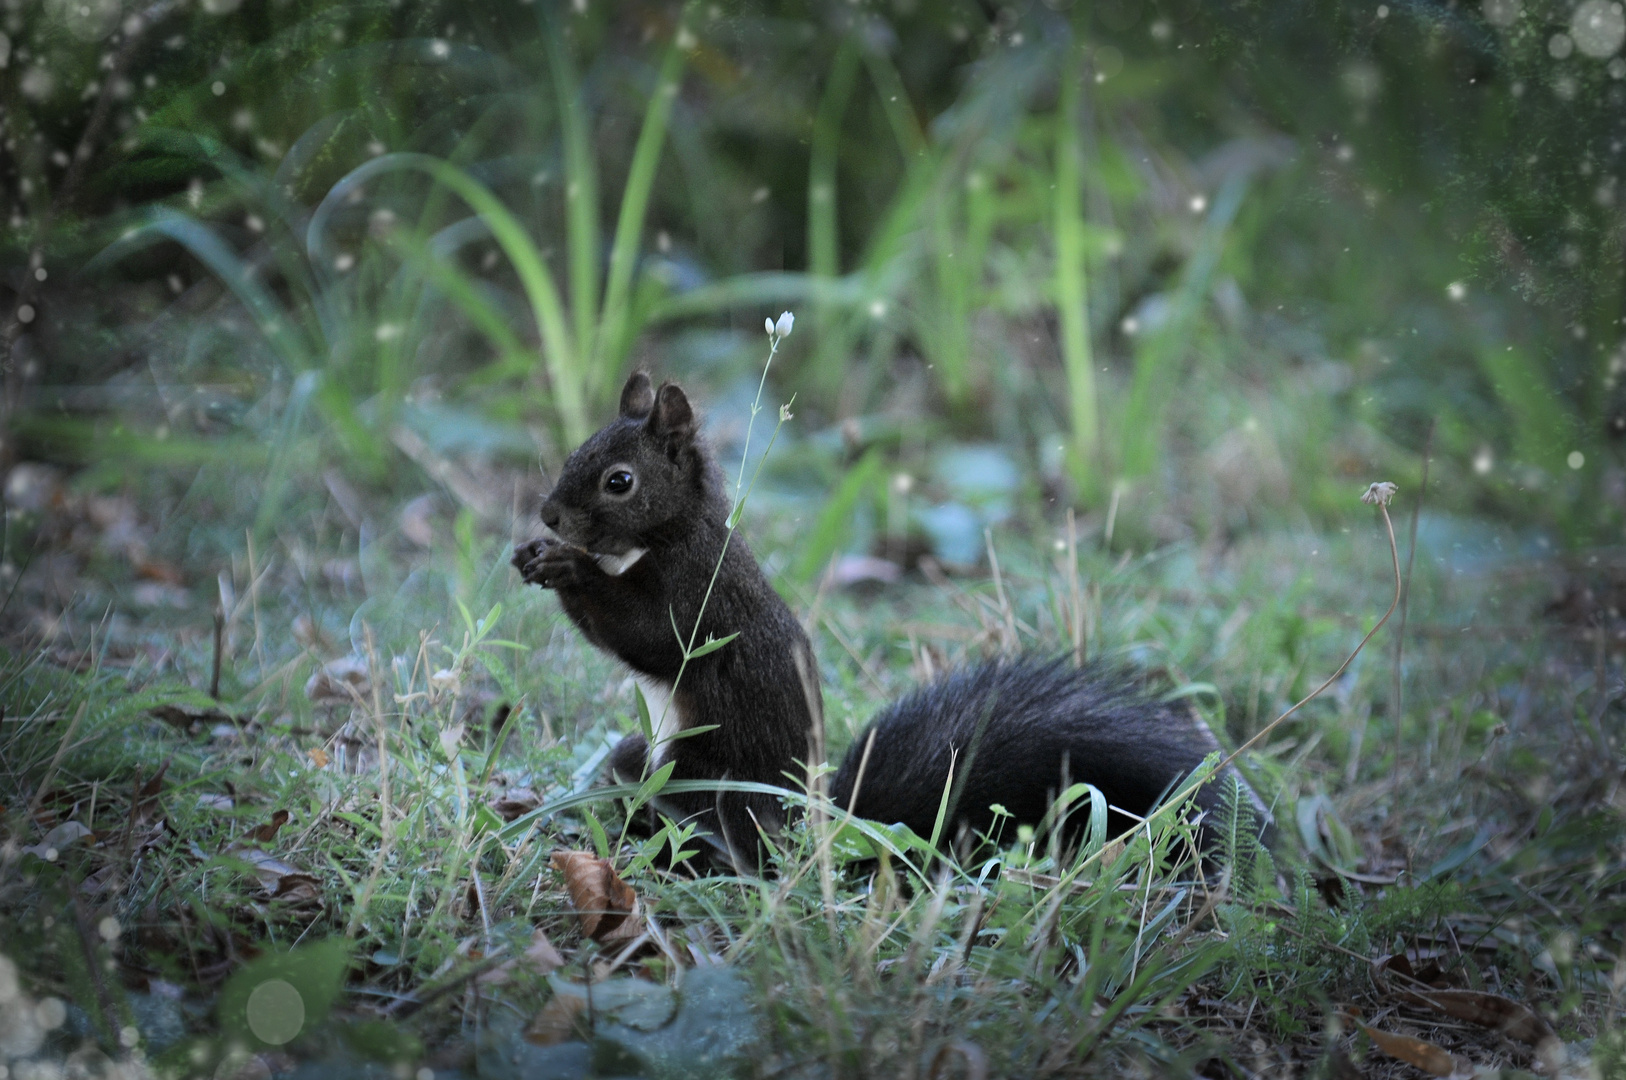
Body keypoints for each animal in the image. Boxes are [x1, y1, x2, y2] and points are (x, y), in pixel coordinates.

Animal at [510, 370, 1268, 871]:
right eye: (576, 452)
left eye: (619, 481)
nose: (548, 515)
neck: (670, 534)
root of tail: (811, 826)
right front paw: (533, 554)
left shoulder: (699, 594)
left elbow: (649, 635)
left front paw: (567, 567)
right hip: (641, 757)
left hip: (708, 777)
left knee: (737, 848)